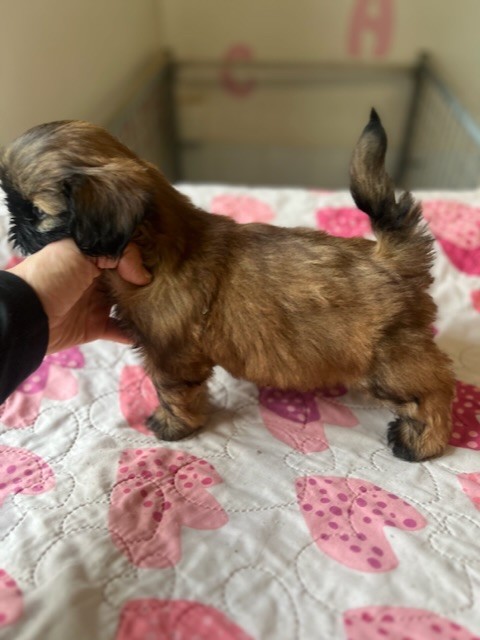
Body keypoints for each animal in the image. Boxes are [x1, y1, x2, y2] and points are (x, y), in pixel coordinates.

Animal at [0, 110, 454, 461]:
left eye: (36, 213)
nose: (14, 231)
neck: (162, 244)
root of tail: (390, 257)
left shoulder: (170, 355)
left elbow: (172, 392)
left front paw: (172, 425)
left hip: (387, 361)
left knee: (432, 391)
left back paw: (421, 442)